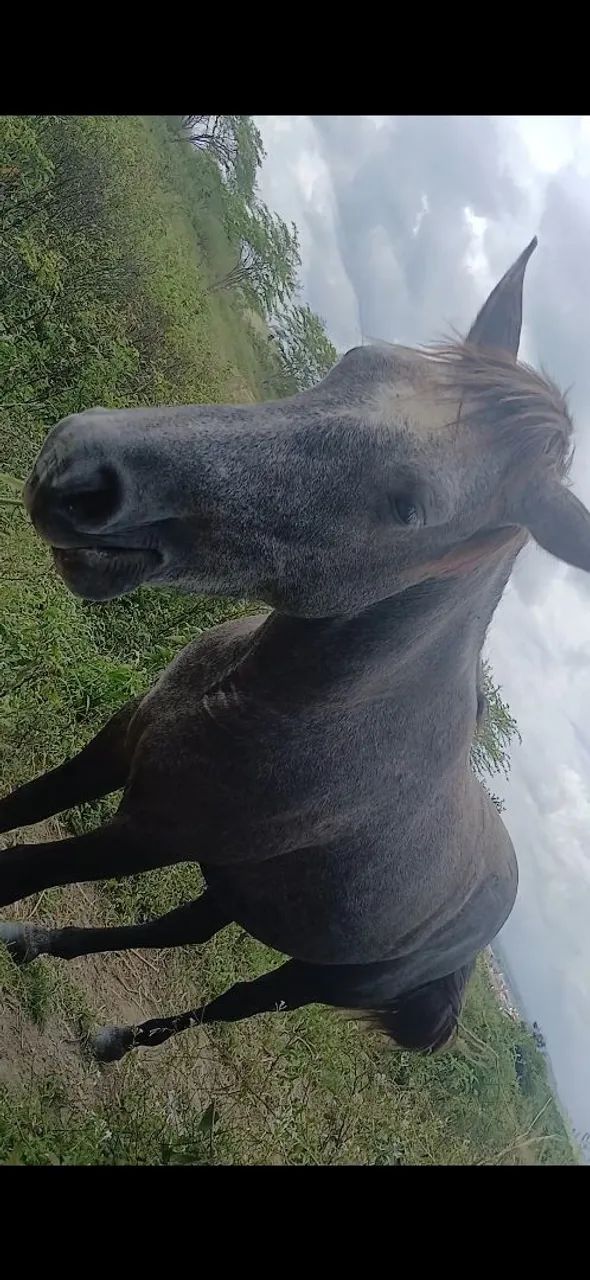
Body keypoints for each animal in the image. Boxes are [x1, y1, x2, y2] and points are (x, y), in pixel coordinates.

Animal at [1, 238, 588, 1065]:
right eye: (356, 361)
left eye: (410, 508)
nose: (79, 466)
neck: (256, 699)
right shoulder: (117, 744)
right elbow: (20, 807)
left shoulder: (147, 836)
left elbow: (15, 867)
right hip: (242, 890)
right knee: (178, 932)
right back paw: (41, 948)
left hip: (313, 978)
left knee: (231, 1002)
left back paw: (118, 1041)